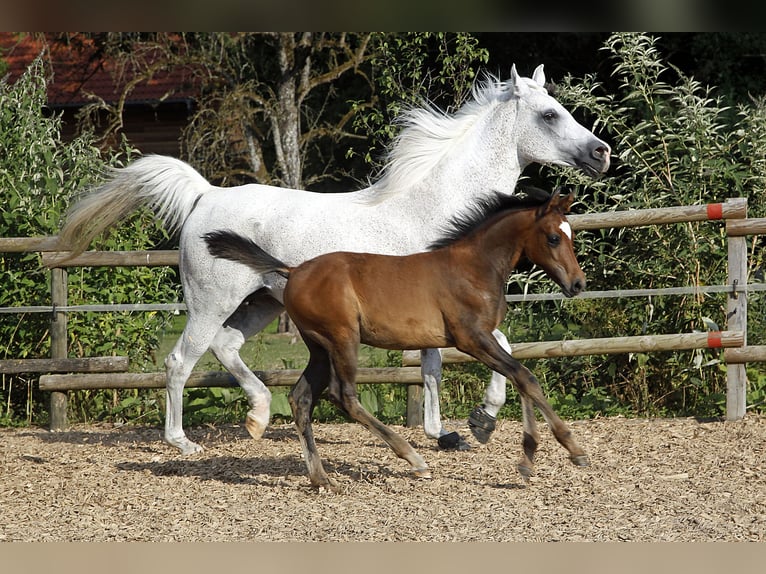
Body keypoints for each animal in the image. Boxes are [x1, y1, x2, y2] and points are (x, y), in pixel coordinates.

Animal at [57, 66, 612, 454]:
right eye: (549, 115)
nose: (601, 152)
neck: (444, 212)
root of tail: (205, 195)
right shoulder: (452, 314)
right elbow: (488, 351)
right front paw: (479, 421)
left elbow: (438, 366)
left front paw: (449, 431)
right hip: (212, 300)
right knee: (180, 360)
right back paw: (182, 442)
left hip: (262, 302)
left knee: (225, 347)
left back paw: (259, 417)